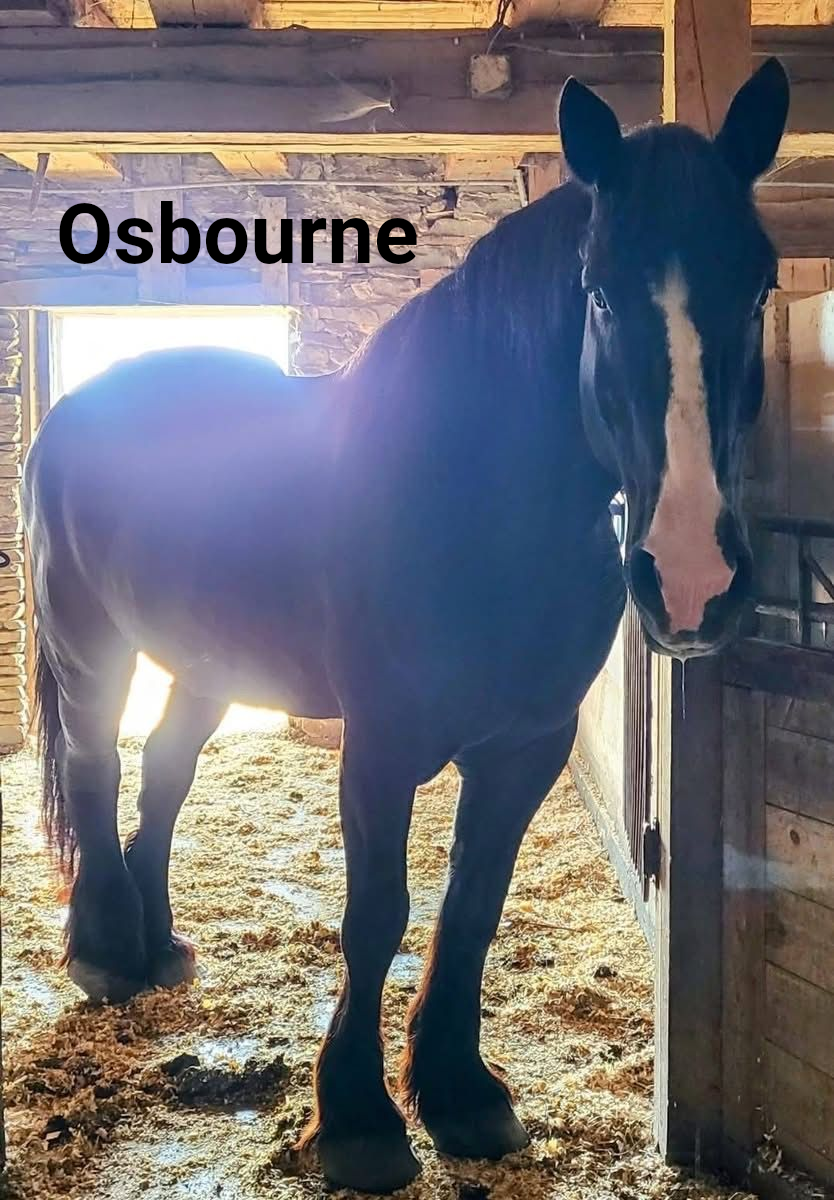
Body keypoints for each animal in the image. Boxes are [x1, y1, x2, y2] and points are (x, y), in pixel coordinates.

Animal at [22, 60, 789, 1194]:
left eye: (762, 284)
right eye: (600, 291)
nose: (693, 578)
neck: (468, 500)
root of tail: (73, 413)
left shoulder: (527, 747)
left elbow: (471, 907)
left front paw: (462, 1094)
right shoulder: (379, 748)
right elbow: (377, 914)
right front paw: (357, 1119)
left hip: (208, 661)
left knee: (163, 772)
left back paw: (159, 949)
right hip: (91, 648)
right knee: (95, 767)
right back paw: (106, 953)